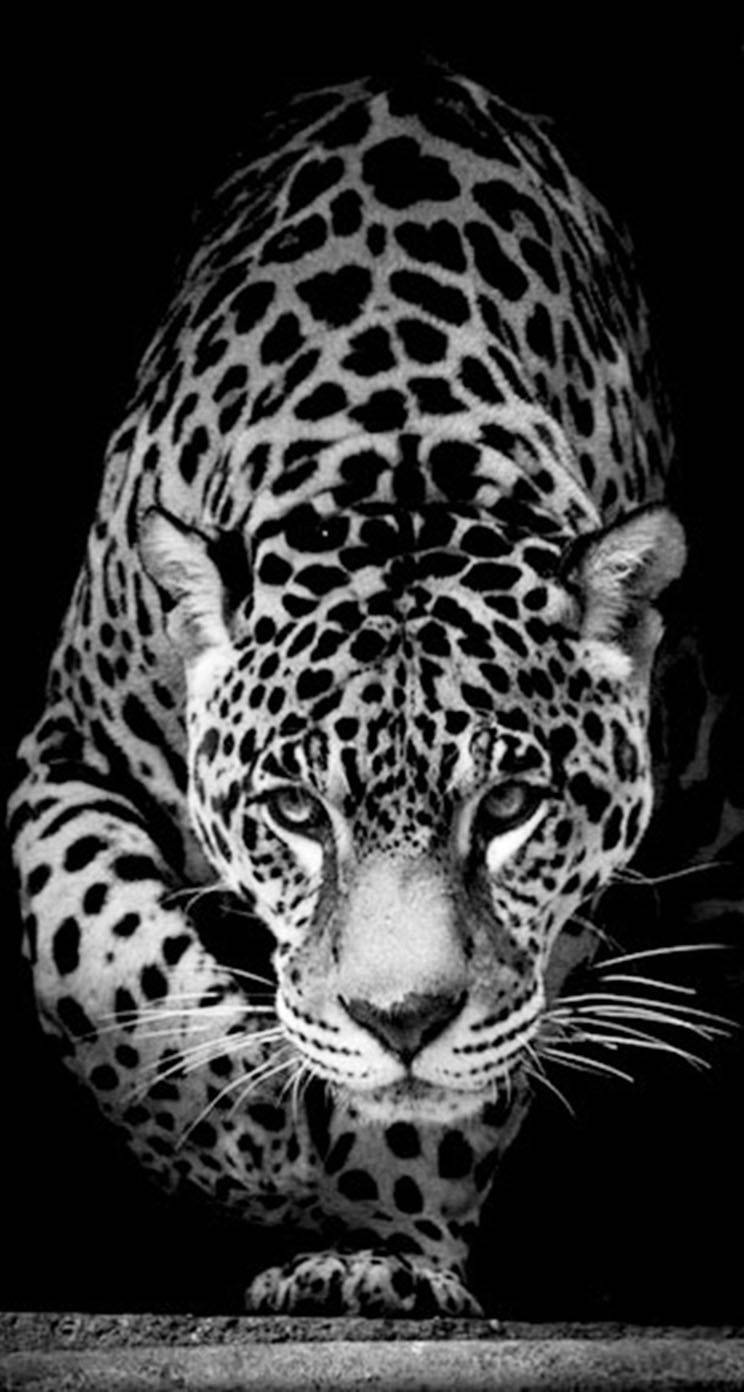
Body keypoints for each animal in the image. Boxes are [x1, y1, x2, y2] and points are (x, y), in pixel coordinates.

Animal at [8, 63, 742, 1318]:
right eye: (297, 813)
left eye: (509, 809)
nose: (400, 1022)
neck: (396, 452)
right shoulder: (66, 752)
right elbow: (90, 945)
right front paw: (247, 1138)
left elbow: (447, 1100)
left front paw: (375, 1251)